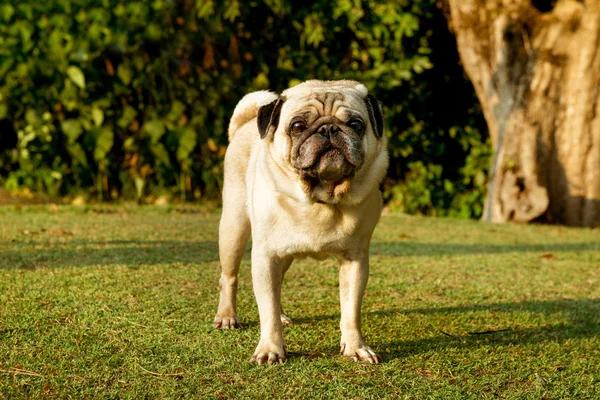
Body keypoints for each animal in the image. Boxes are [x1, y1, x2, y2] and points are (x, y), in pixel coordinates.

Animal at [213, 79, 386, 364]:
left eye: (355, 124)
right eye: (297, 127)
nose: (328, 128)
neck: (321, 198)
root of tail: (244, 124)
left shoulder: (356, 261)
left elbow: (351, 310)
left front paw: (355, 347)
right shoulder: (265, 257)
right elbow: (267, 309)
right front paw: (270, 348)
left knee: (276, 287)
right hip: (233, 230)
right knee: (230, 277)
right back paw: (227, 316)